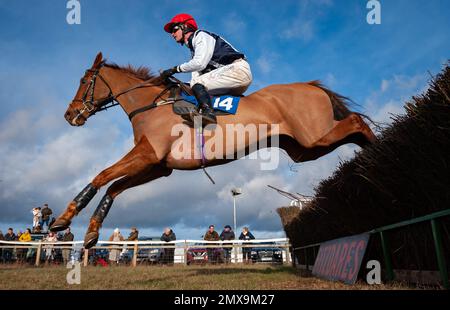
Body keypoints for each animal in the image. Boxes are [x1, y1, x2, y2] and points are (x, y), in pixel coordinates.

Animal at [50, 52, 376, 248]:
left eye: (83, 81)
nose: (69, 115)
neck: (151, 105)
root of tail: (311, 86)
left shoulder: (148, 155)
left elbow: (102, 176)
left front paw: (63, 217)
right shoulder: (158, 167)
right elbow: (114, 188)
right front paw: (91, 231)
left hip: (313, 138)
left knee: (356, 121)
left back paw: (377, 147)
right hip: (303, 148)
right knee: (352, 129)